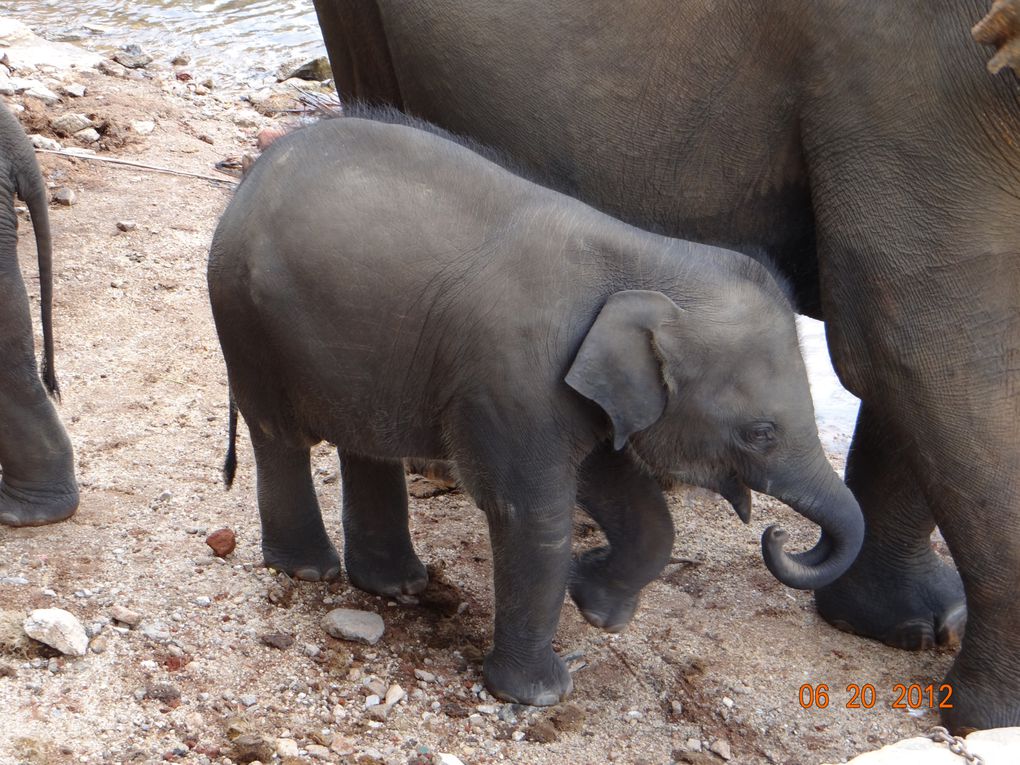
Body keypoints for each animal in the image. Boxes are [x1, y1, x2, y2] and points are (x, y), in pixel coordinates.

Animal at [207, 112, 860, 705]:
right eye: (761, 433)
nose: (780, 535)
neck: (647, 258)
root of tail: (252, 174)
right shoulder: (513, 381)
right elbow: (532, 513)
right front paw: (542, 693)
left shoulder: (579, 391)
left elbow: (620, 486)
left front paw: (597, 606)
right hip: (246, 319)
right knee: (281, 438)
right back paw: (310, 572)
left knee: (366, 444)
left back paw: (397, 586)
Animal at [314, 0, 1020, 734]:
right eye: (760, 433)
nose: (777, 536)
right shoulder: (889, 70)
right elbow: (919, 344)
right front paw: (991, 716)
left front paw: (915, 629)